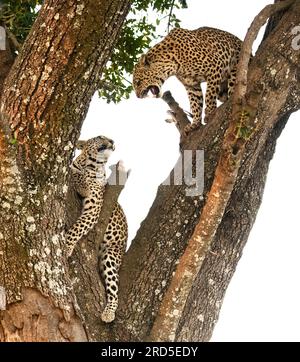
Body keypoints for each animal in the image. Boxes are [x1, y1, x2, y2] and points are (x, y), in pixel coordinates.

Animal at [66, 135, 127, 322]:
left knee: (114, 290)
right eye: (100, 136)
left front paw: (66, 246)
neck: (91, 165)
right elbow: (75, 172)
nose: (112, 141)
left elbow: (76, 229)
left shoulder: (93, 207)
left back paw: (108, 313)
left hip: (110, 255)